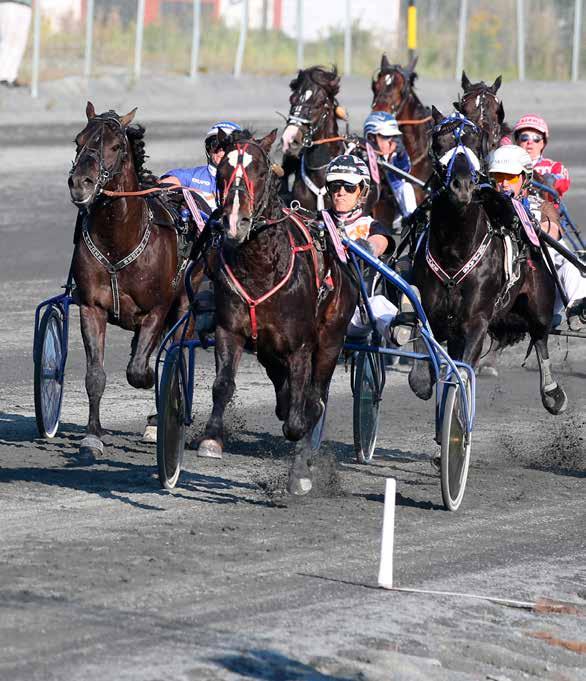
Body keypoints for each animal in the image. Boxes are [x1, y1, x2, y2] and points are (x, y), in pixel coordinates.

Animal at [68, 103, 188, 456]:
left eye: (116, 146)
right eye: (78, 140)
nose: (80, 183)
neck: (118, 240)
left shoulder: (158, 309)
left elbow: (140, 371)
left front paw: (151, 384)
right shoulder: (91, 307)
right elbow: (95, 375)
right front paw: (92, 436)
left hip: (184, 307)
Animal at [196, 127, 356, 492]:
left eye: (259, 171)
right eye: (222, 172)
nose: (235, 222)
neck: (262, 264)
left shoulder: (301, 346)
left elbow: (300, 418)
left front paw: (301, 472)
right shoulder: (230, 330)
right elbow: (222, 385)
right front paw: (211, 439)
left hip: (331, 341)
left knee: (314, 398)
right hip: (268, 349)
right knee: (283, 389)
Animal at [406, 109, 564, 418]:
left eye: (475, 142)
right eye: (438, 143)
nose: (462, 186)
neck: (455, 251)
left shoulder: (477, 320)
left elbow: (465, 367)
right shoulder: (431, 311)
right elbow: (421, 350)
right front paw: (424, 380)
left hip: (540, 301)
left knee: (540, 337)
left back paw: (552, 393)